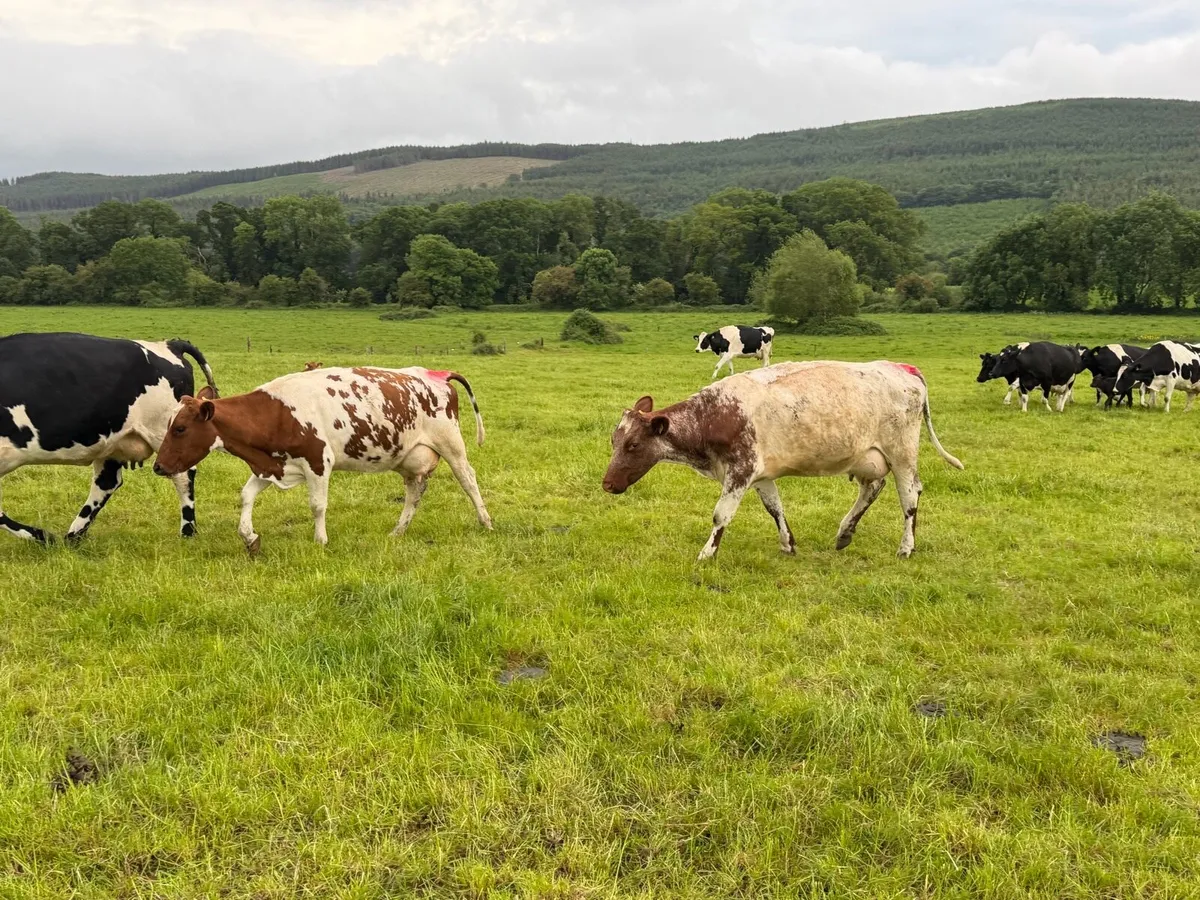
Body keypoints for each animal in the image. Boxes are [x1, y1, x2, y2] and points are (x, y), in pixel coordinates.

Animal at [0, 332, 218, 544]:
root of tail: (169, 344)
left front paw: (41, 536)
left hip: (165, 433)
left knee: (183, 474)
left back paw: (188, 532)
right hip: (114, 443)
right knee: (107, 482)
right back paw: (74, 536)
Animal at [153, 366, 492, 553]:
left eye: (180, 428)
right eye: (169, 424)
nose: (158, 466)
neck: (274, 413)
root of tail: (436, 374)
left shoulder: (318, 461)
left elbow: (317, 505)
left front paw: (321, 541)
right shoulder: (271, 464)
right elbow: (246, 496)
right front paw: (249, 537)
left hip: (451, 443)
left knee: (468, 479)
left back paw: (485, 522)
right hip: (407, 457)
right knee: (415, 492)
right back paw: (398, 531)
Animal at [602, 360, 963, 561]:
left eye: (633, 445)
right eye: (614, 441)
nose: (607, 484)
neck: (713, 414)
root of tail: (902, 368)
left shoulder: (741, 470)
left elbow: (720, 515)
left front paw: (707, 553)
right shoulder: (761, 474)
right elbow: (775, 509)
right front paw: (788, 544)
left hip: (902, 452)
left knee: (909, 495)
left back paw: (906, 547)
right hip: (867, 457)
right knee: (873, 487)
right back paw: (845, 533)